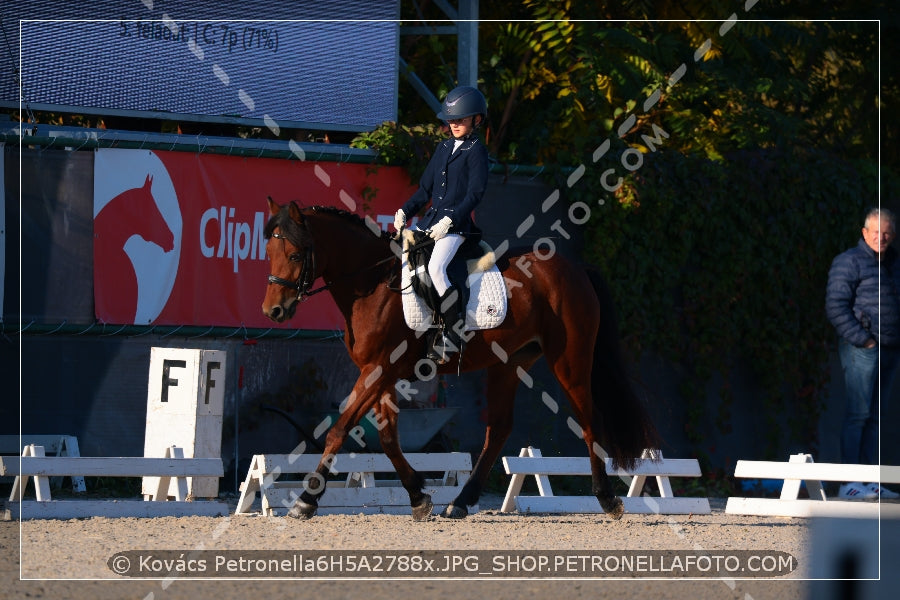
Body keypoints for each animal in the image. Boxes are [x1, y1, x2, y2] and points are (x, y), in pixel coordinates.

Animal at [260, 198, 660, 520]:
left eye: (295, 255)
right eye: (268, 253)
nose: (273, 311)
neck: (373, 284)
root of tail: (575, 268)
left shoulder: (378, 370)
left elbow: (339, 430)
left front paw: (306, 501)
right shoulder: (380, 374)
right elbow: (387, 438)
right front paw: (418, 497)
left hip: (570, 361)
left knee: (589, 420)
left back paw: (607, 499)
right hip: (509, 363)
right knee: (498, 429)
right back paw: (460, 502)